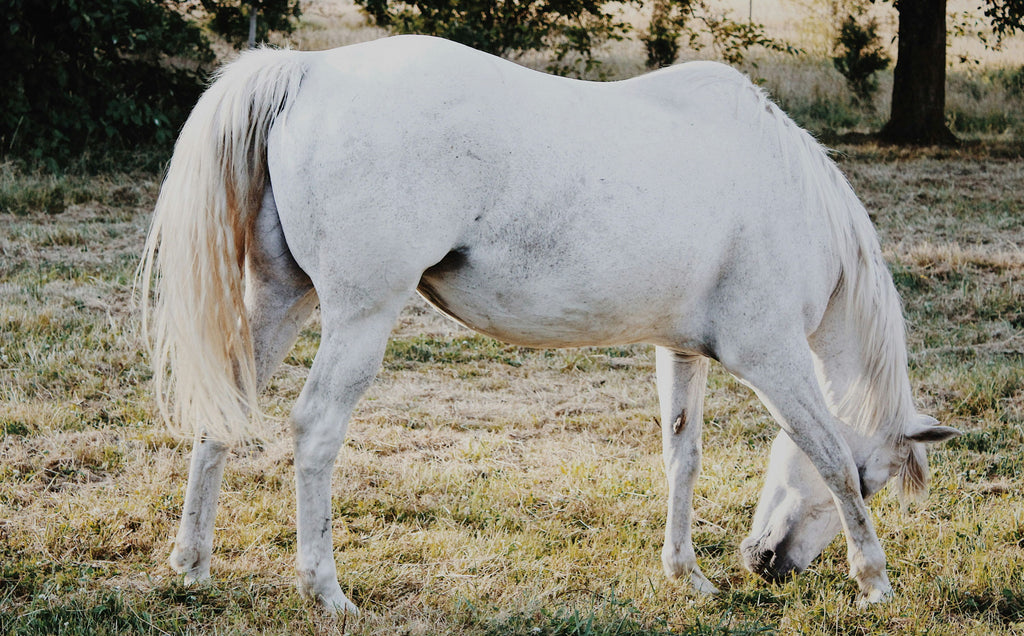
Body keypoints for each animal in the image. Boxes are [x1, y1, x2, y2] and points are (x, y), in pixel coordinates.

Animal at [138, 35, 959, 615]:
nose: (766, 565)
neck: (784, 194)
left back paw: (192, 565)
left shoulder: (680, 351)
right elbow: (826, 454)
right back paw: (326, 589)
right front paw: (874, 581)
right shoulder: (774, 359)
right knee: (314, 431)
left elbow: (682, 457)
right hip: (359, 317)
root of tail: (308, 72)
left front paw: (686, 575)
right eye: (877, 479)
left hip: (283, 299)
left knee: (225, 412)